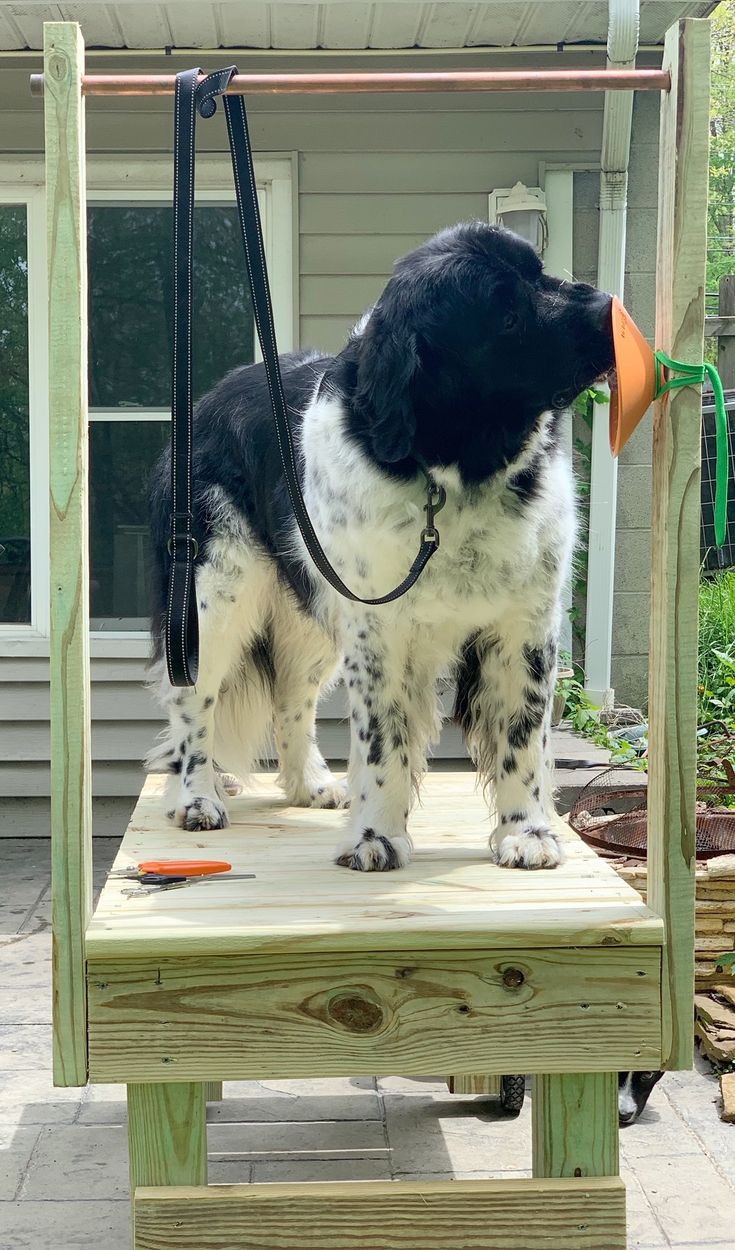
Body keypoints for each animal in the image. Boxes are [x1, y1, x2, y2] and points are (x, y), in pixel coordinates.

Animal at [149, 222, 615, 870]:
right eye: (505, 316)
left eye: (541, 273)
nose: (607, 307)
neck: (452, 472)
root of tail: (205, 403)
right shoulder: (379, 634)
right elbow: (382, 741)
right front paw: (376, 837)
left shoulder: (523, 627)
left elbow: (521, 736)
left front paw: (527, 832)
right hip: (216, 599)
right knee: (195, 702)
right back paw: (197, 797)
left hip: (314, 616)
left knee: (292, 698)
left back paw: (311, 785)